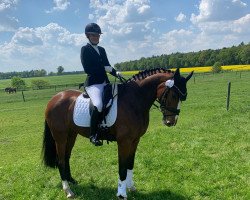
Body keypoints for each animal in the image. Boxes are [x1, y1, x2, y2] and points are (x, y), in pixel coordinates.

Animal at [42, 68, 193, 199]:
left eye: (183, 97)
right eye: (173, 94)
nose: (171, 122)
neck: (134, 100)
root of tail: (54, 98)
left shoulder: (135, 140)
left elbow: (130, 164)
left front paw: (131, 187)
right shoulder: (124, 142)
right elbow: (122, 167)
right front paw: (121, 194)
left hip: (71, 134)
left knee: (66, 157)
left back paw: (71, 181)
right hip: (60, 137)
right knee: (61, 160)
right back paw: (68, 190)